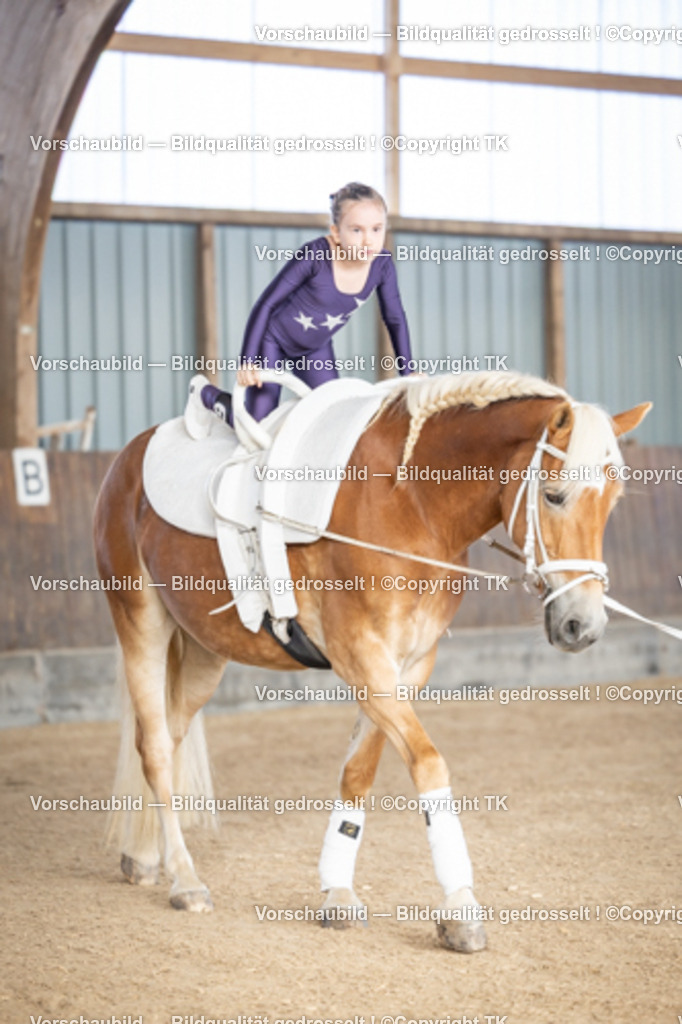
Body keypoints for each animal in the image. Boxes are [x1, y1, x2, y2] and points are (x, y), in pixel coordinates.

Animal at [94, 370, 650, 953]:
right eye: (553, 496)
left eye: (613, 501)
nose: (584, 626)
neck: (414, 503)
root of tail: (128, 456)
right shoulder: (362, 654)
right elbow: (428, 763)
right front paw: (460, 907)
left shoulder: (409, 664)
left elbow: (358, 772)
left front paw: (338, 892)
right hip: (141, 621)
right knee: (155, 747)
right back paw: (185, 879)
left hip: (205, 648)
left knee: (170, 735)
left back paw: (145, 855)